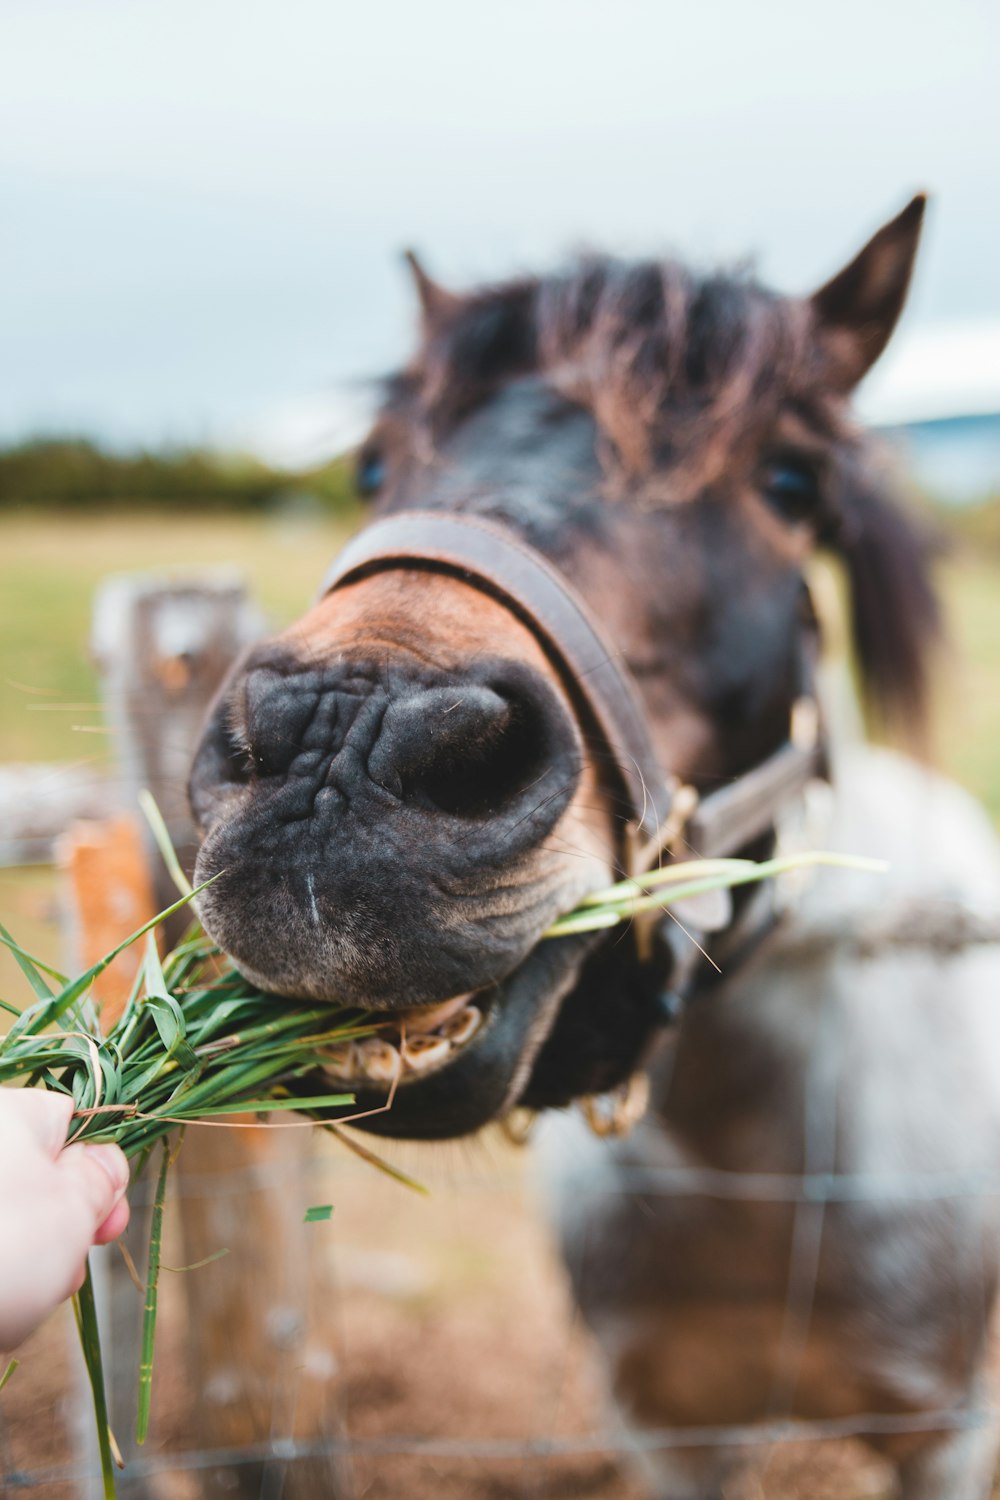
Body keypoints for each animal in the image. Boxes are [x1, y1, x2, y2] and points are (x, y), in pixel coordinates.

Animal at [185, 193, 1000, 1494]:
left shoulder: (945, 1431)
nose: (335, 743)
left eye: (790, 480)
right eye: (372, 462)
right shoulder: (666, 1425)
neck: (755, 1172)